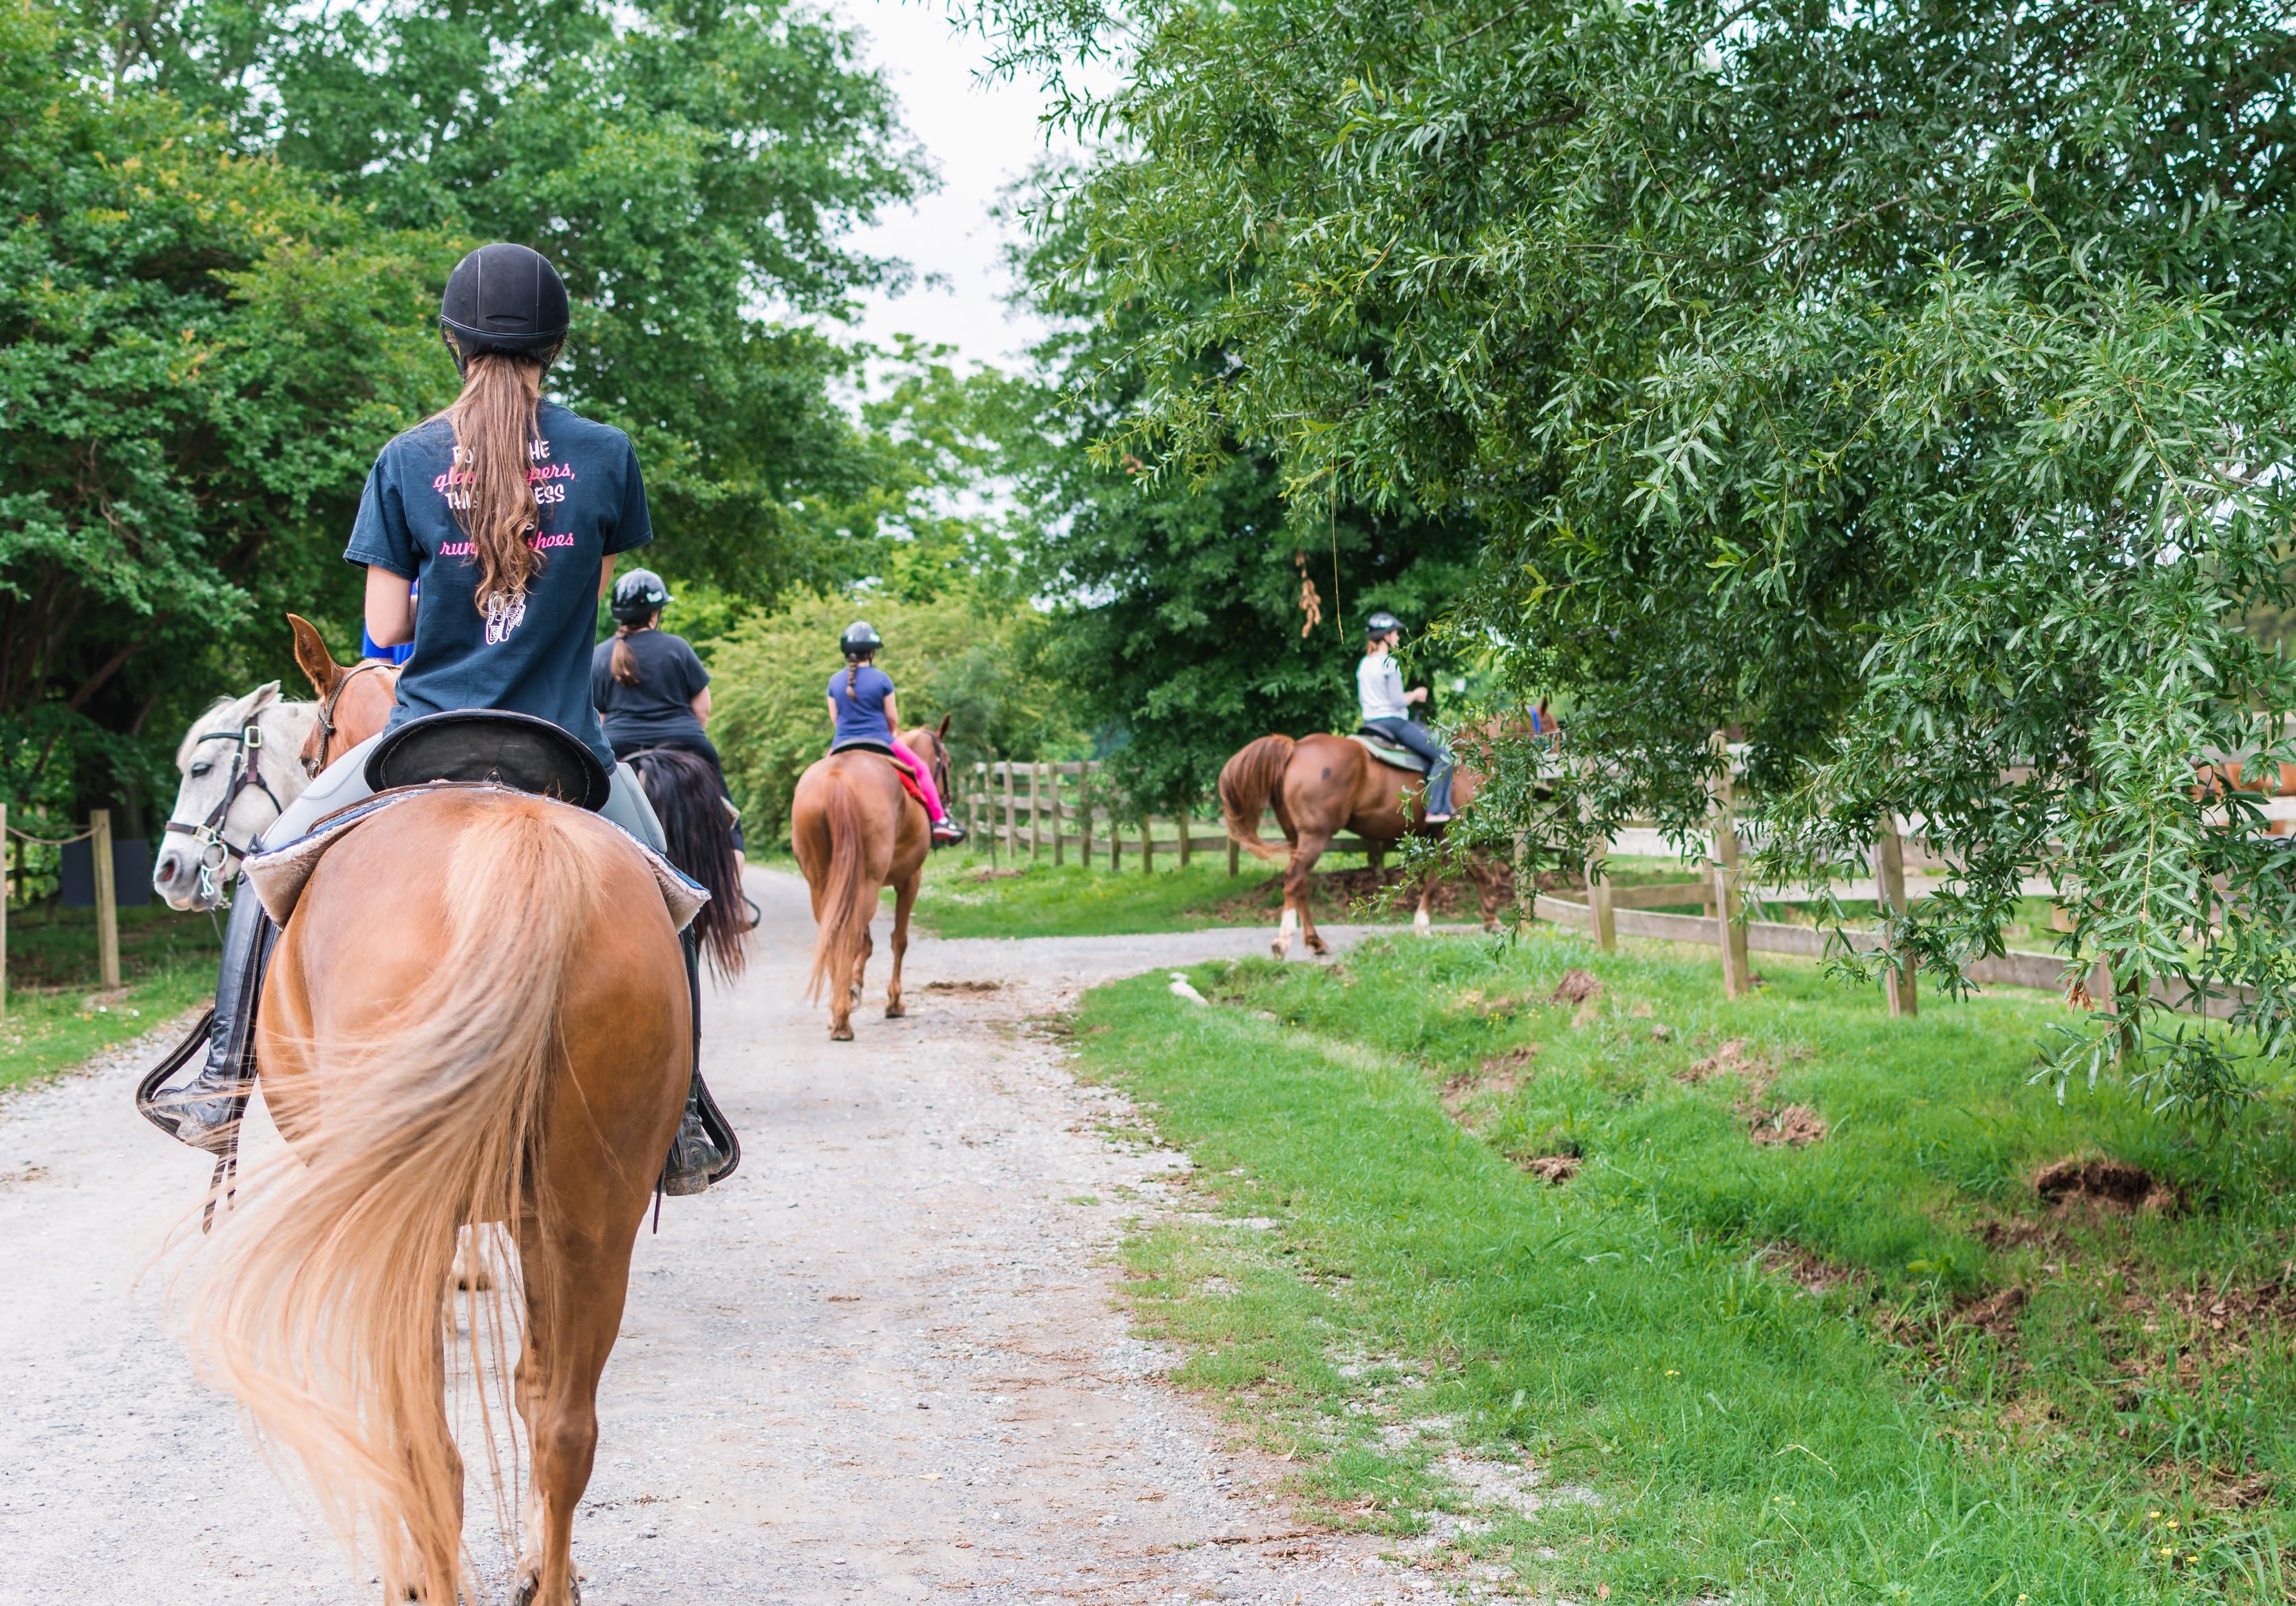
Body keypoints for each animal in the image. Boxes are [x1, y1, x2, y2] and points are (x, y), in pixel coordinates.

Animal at [180, 785, 688, 1598]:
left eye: (205, 767)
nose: (177, 866)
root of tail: (520, 845)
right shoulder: (534, 1219)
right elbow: (534, 1389)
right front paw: (540, 1564)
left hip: (407, 1229)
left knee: (422, 1446)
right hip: (596, 1220)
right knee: (565, 1431)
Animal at [789, 721, 950, 1043]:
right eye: (948, 762)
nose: (948, 800)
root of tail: (838, 777)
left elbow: (865, 942)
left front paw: (853, 987)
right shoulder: (910, 880)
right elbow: (898, 940)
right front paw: (894, 1002)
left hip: (825, 883)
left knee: (834, 934)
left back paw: (837, 1010)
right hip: (869, 882)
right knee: (849, 936)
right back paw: (842, 1020)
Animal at [1221, 735, 1506, 960]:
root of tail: (1296, 747)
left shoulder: (1449, 837)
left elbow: (1476, 873)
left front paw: (1491, 918)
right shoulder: (1450, 833)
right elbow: (1441, 881)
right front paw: (1423, 926)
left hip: (1297, 839)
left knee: (1300, 884)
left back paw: (1315, 941)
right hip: (1315, 836)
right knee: (1294, 879)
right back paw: (1284, 941)